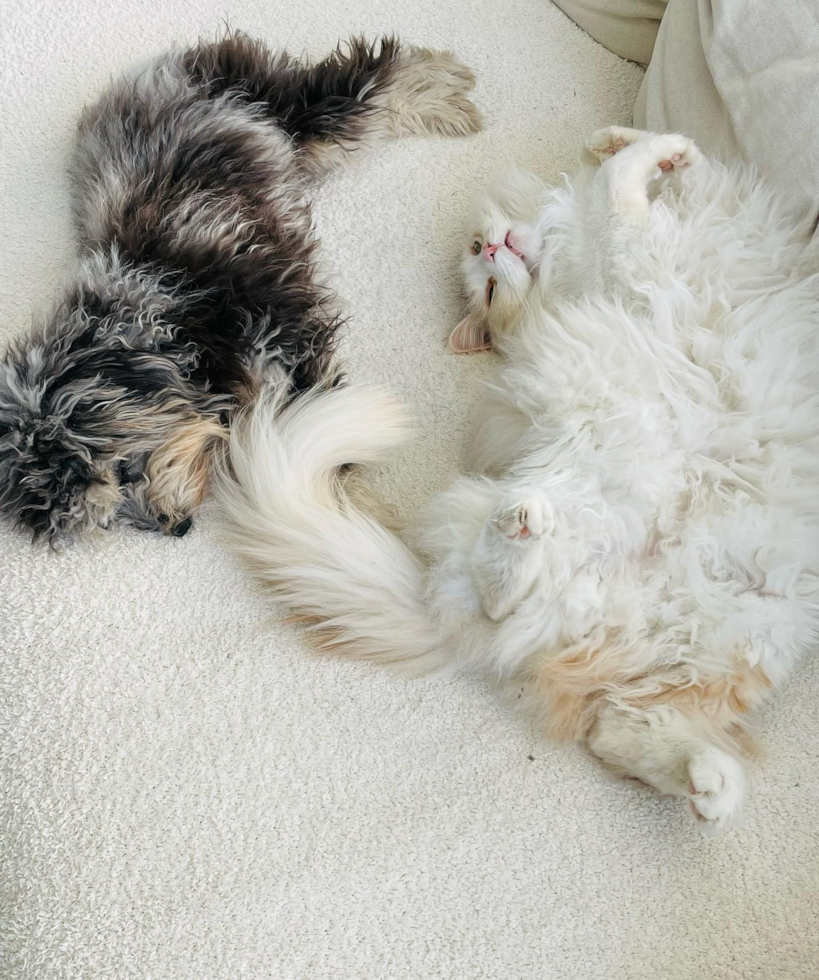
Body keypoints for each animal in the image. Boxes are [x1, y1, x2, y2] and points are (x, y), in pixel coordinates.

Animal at [1, 32, 480, 544]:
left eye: (124, 469)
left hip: (278, 107)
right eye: (107, 517)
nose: (176, 527)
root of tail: (151, 69)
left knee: (369, 80)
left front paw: (342, 515)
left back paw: (450, 92)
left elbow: (323, 440)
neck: (170, 307)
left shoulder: (286, 332)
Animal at [216, 128, 819, 836]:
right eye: (487, 285)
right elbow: (620, 184)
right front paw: (655, 153)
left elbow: (633, 163)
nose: (492, 248)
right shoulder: (625, 250)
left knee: (621, 725)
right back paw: (521, 533)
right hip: (585, 509)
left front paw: (658, 149)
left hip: (746, 636)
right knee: (502, 598)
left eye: (480, 257)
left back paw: (710, 790)